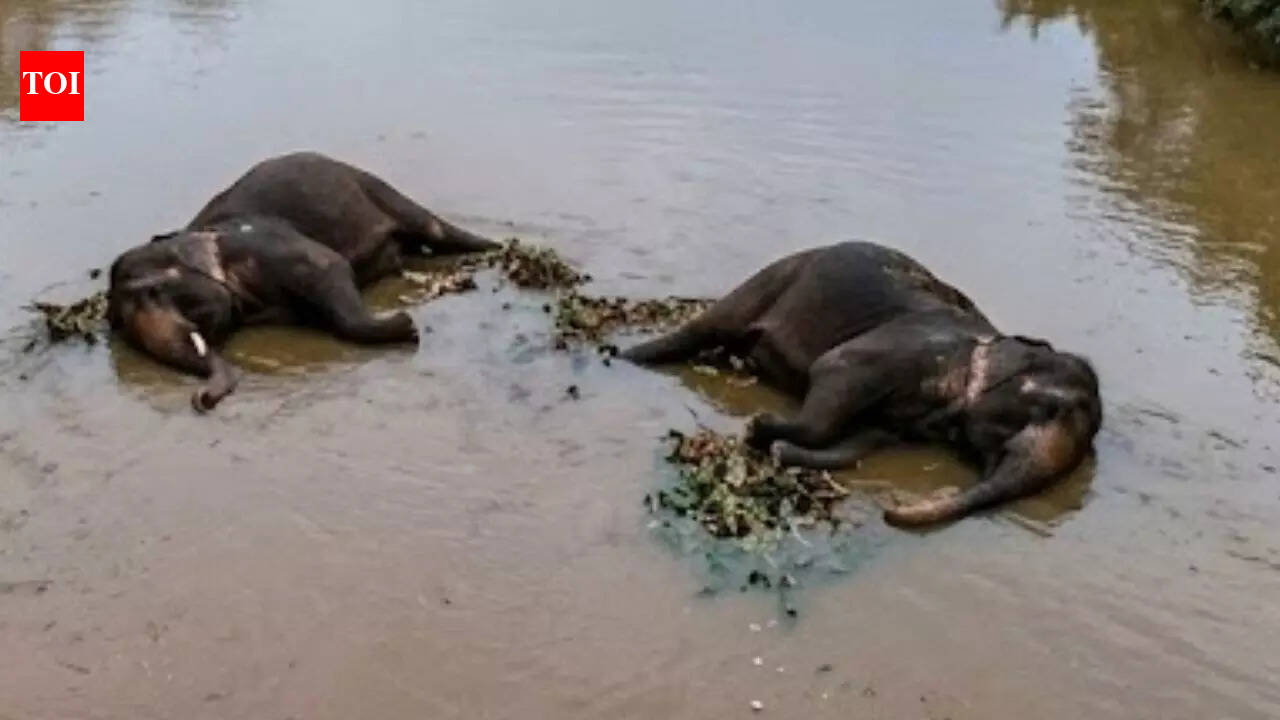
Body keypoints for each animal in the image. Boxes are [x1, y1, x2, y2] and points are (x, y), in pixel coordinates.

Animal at [107, 152, 499, 411]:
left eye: (155, 290)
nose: (201, 399)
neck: (201, 234)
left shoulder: (271, 244)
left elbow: (332, 269)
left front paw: (407, 327)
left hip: (378, 190)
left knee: (435, 228)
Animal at [622, 241, 1102, 527]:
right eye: (1049, 407)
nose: (891, 511)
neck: (985, 344)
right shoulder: (895, 352)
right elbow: (831, 376)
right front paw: (759, 428)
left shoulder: (900, 418)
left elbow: (860, 441)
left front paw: (777, 447)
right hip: (776, 278)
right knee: (710, 325)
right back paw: (628, 356)